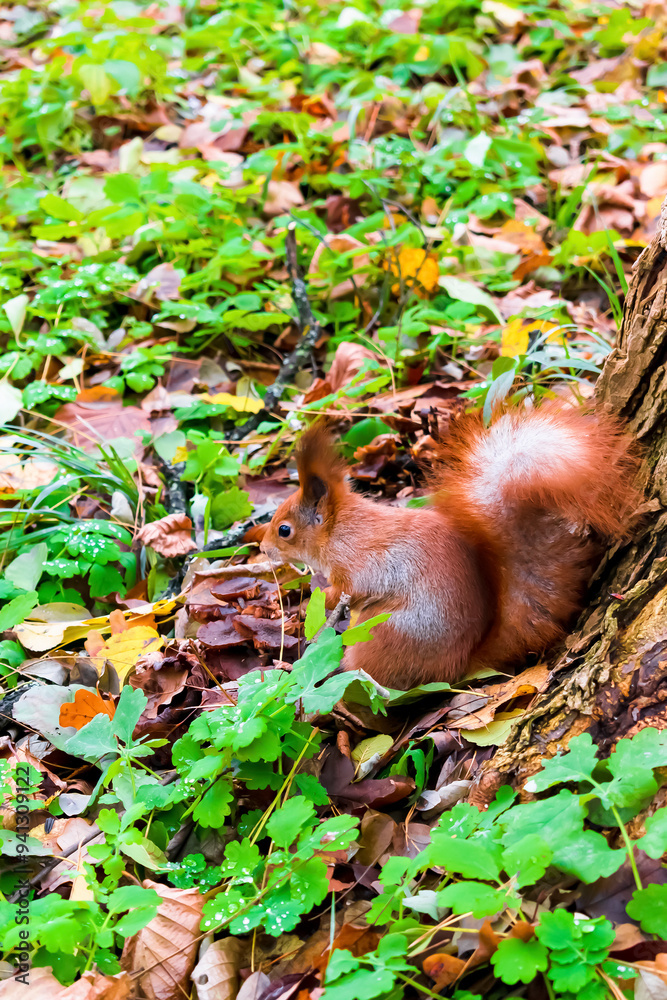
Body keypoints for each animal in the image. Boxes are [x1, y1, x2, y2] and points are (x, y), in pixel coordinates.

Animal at [260, 405, 641, 690]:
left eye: (284, 530)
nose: (263, 549)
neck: (341, 530)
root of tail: (460, 663)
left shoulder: (364, 561)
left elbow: (350, 589)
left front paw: (318, 600)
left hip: (381, 633)